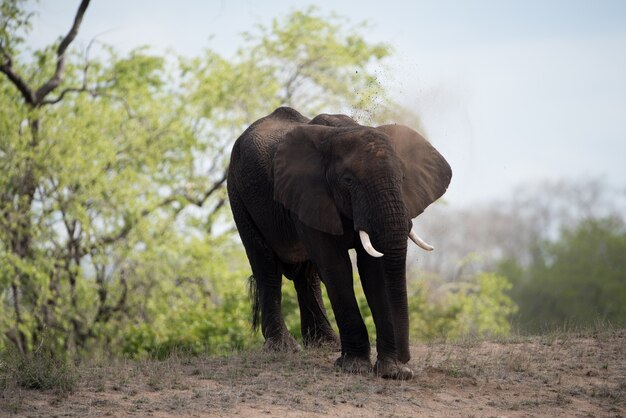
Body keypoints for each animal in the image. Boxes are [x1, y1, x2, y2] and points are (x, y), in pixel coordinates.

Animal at [227, 107, 450, 378]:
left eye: (403, 176)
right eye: (348, 180)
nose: (405, 358)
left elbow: (374, 270)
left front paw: (391, 372)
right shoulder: (310, 193)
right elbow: (336, 266)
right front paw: (355, 367)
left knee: (306, 275)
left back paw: (324, 345)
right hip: (238, 193)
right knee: (266, 266)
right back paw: (283, 349)